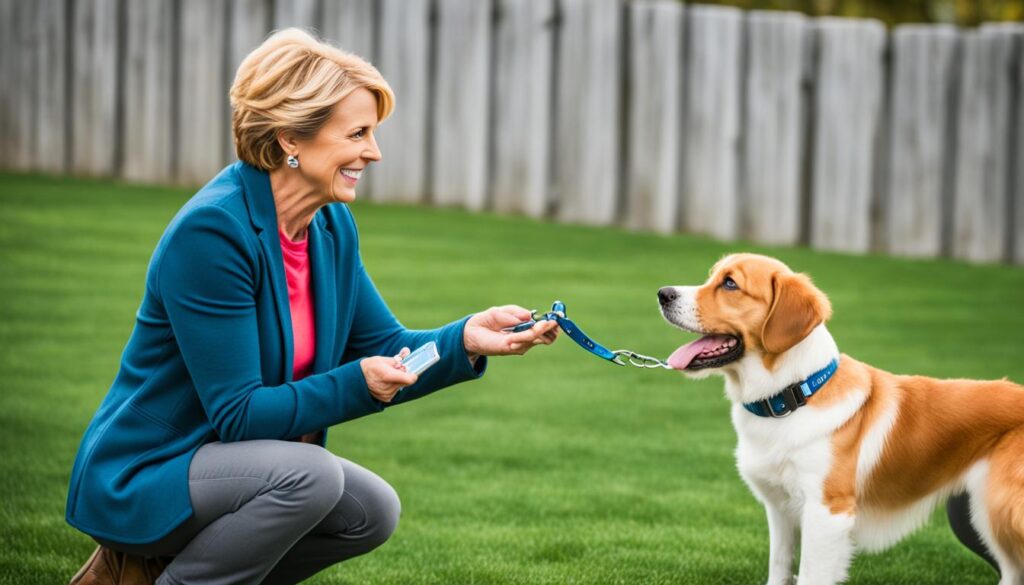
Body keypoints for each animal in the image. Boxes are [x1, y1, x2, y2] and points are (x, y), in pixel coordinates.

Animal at [655, 253, 1024, 585]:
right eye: (711, 276)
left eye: (730, 283)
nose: (662, 293)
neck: (793, 397)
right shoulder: (780, 509)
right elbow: (780, 567)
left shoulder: (827, 513)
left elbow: (810, 576)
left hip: (1000, 512)